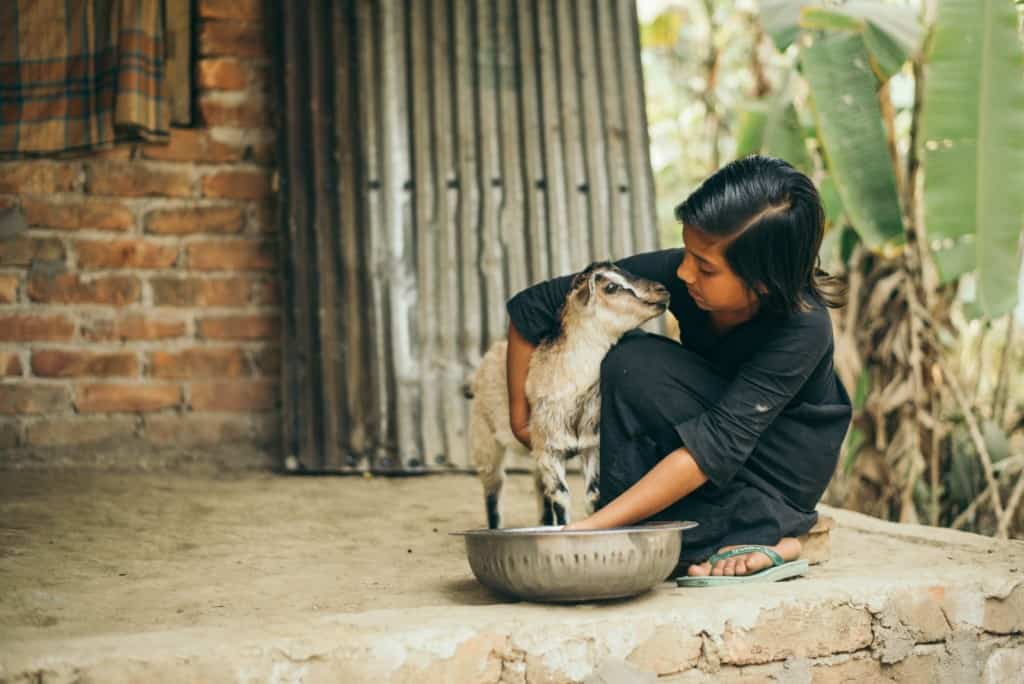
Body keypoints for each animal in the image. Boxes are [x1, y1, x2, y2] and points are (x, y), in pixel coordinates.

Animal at [466, 262, 671, 528]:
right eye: (611, 287)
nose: (662, 290)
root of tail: (493, 350)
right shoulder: (548, 449)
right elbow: (561, 497)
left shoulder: (591, 446)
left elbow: (592, 496)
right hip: (484, 438)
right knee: (494, 487)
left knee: (537, 487)